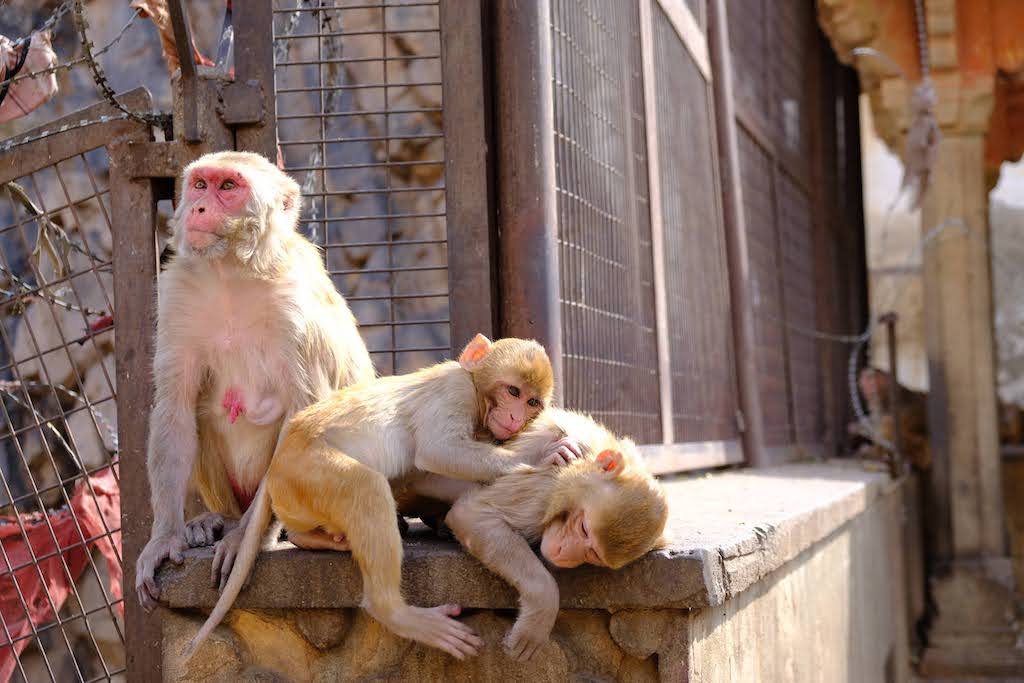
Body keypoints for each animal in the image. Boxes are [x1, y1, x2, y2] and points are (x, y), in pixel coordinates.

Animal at [134, 152, 374, 610]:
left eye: (229, 187)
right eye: (200, 184)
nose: (199, 208)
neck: (232, 270)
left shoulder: (294, 307)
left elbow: (304, 415)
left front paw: (246, 540)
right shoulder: (178, 293)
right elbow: (175, 407)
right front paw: (165, 537)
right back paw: (216, 521)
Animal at [184, 333, 552, 659]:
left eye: (532, 402)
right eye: (513, 391)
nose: (516, 417)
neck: (477, 394)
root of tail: (279, 456)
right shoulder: (454, 393)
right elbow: (438, 450)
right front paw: (541, 457)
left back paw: (309, 538)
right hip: (304, 471)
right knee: (366, 486)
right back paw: (396, 612)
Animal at [444, 409, 667, 663]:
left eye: (593, 554)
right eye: (583, 528)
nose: (564, 554)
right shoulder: (545, 486)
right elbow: (472, 513)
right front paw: (542, 607)